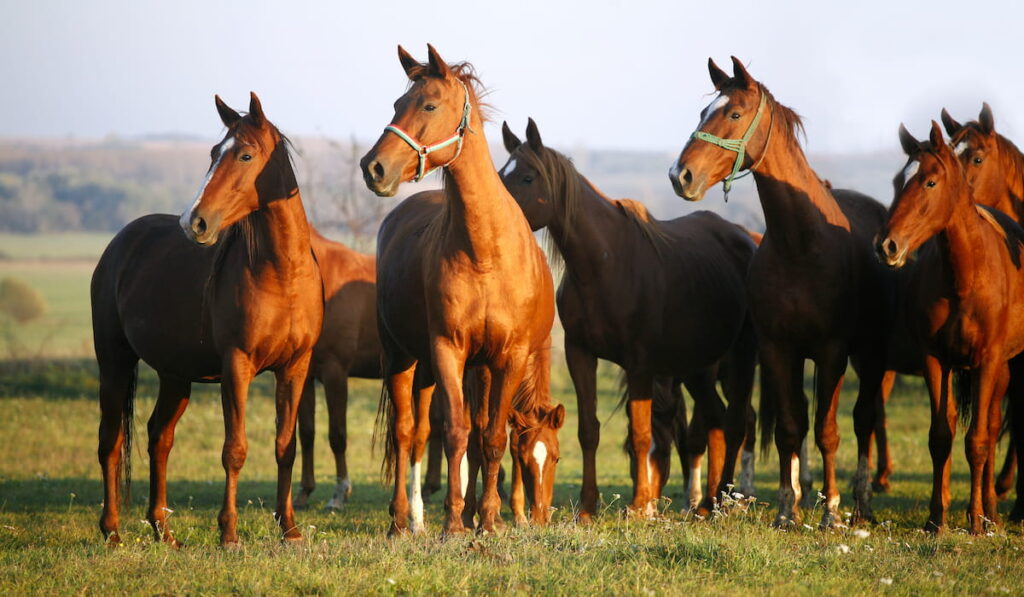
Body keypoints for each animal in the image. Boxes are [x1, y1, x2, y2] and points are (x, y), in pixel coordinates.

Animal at [95, 93, 323, 544]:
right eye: (214, 152)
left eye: (245, 154)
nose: (194, 222)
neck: (283, 273)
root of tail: (119, 243)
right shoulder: (237, 366)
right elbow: (234, 450)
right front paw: (229, 534)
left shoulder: (295, 368)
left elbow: (285, 447)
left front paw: (289, 529)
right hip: (114, 364)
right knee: (111, 442)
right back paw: (111, 531)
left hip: (175, 376)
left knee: (159, 438)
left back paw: (163, 531)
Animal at [294, 231, 382, 512]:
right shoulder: (305, 377)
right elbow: (306, 433)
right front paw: (304, 492)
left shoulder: (335, 373)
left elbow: (337, 435)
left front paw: (340, 494)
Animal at [358, 44, 557, 536]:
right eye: (397, 104)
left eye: (429, 105)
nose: (374, 167)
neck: (485, 251)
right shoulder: (448, 349)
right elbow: (454, 433)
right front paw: (453, 522)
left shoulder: (507, 357)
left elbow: (492, 437)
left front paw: (489, 519)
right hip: (403, 357)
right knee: (406, 432)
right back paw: (401, 521)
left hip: (470, 369)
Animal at [499, 117, 757, 518]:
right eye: (500, 173)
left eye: (527, 177)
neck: (607, 265)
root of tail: (746, 238)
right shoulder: (580, 354)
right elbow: (588, 430)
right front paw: (588, 506)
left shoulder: (640, 366)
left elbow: (641, 434)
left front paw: (639, 506)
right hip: (697, 368)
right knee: (714, 421)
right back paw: (706, 503)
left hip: (739, 360)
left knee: (735, 423)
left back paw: (725, 500)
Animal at [667, 58, 892, 528]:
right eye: (703, 113)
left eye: (734, 114)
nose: (681, 175)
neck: (801, 245)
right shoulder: (776, 349)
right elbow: (791, 426)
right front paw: (788, 509)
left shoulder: (832, 351)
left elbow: (828, 430)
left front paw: (831, 511)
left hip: (871, 353)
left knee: (865, 419)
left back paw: (861, 501)